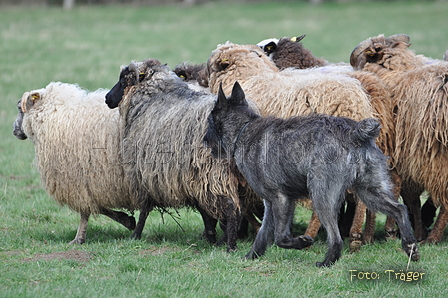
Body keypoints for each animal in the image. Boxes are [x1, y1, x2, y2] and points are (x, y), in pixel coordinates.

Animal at [10, 82, 149, 244]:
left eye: (20, 109)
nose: (14, 130)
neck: (52, 115)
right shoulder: (88, 181)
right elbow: (96, 206)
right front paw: (126, 219)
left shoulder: (78, 179)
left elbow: (88, 209)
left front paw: (79, 238)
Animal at [105, 58, 260, 251]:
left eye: (123, 80)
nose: (107, 98)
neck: (152, 97)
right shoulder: (190, 177)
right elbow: (204, 211)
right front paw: (211, 236)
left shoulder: (149, 173)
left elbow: (145, 208)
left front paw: (136, 234)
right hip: (242, 181)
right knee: (242, 209)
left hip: (216, 174)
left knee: (232, 208)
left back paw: (231, 246)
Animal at [206, 82, 420, 268]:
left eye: (209, 121)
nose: (203, 140)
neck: (244, 130)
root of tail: (352, 133)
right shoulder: (273, 202)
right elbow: (263, 234)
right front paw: (251, 256)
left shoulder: (280, 198)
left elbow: (280, 237)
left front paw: (301, 242)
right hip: (370, 192)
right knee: (400, 209)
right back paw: (410, 246)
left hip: (322, 197)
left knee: (336, 237)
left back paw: (327, 262)